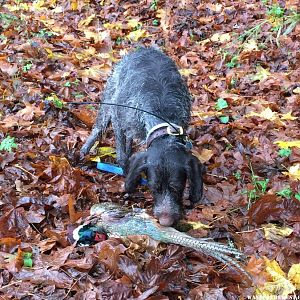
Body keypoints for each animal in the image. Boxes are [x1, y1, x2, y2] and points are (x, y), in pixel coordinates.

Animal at [81, 46, 205, 225]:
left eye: (177, 187)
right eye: (153, 188)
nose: (165, 222)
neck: (162, 120)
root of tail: (144, 48)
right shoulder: (118, 120)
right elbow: (122, 156)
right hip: (109, 98)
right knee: (99, 128)